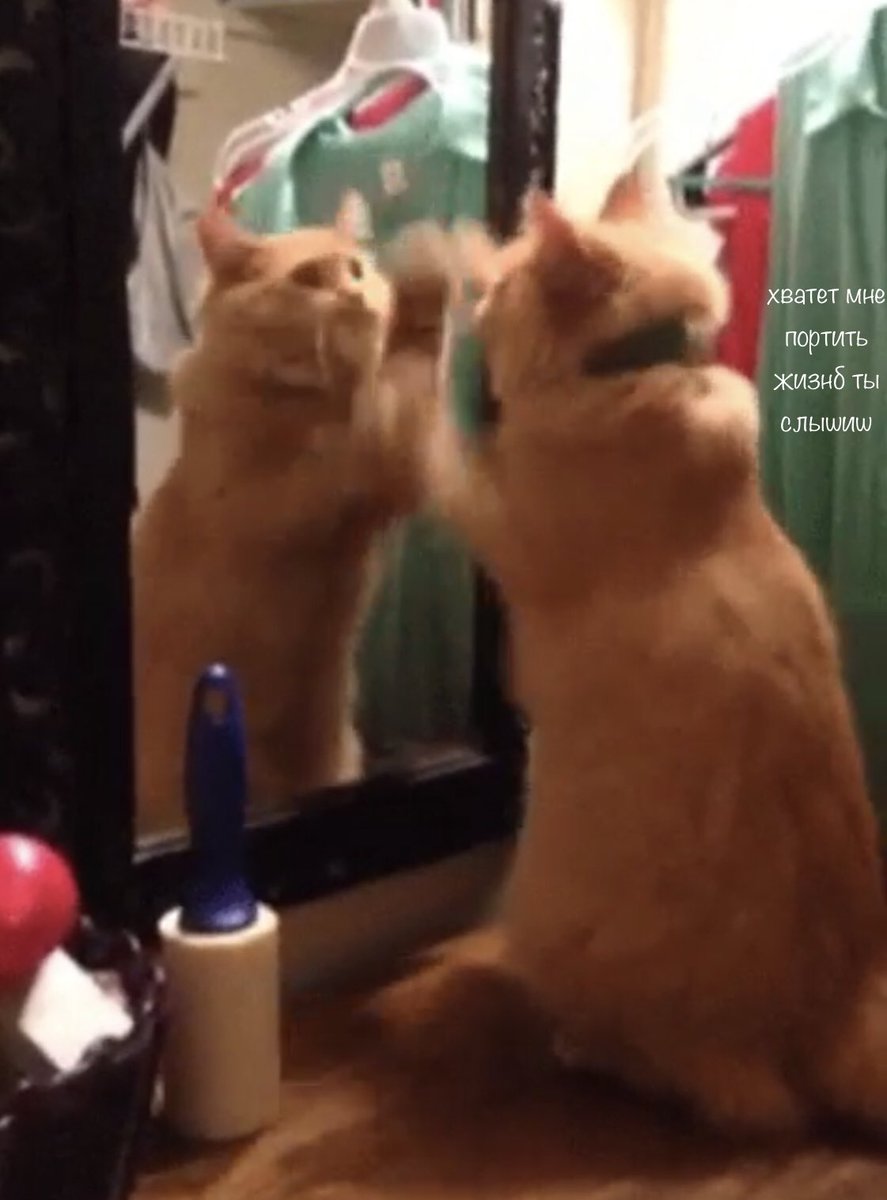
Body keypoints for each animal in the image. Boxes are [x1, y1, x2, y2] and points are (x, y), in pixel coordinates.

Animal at [133, 196, 453, 837]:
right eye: (307, 279)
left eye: (355, 267)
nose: (355, 294)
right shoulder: (306, 494)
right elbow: (399, 375)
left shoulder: (393, 474)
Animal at [425, 174, 887, 1140]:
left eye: (505, 289)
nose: (480, 296)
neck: (652, 366)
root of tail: (842, 1009)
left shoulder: (497, 520)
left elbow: (434, 437)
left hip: (553, 922)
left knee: (717, 1087)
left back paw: (586, 1049)